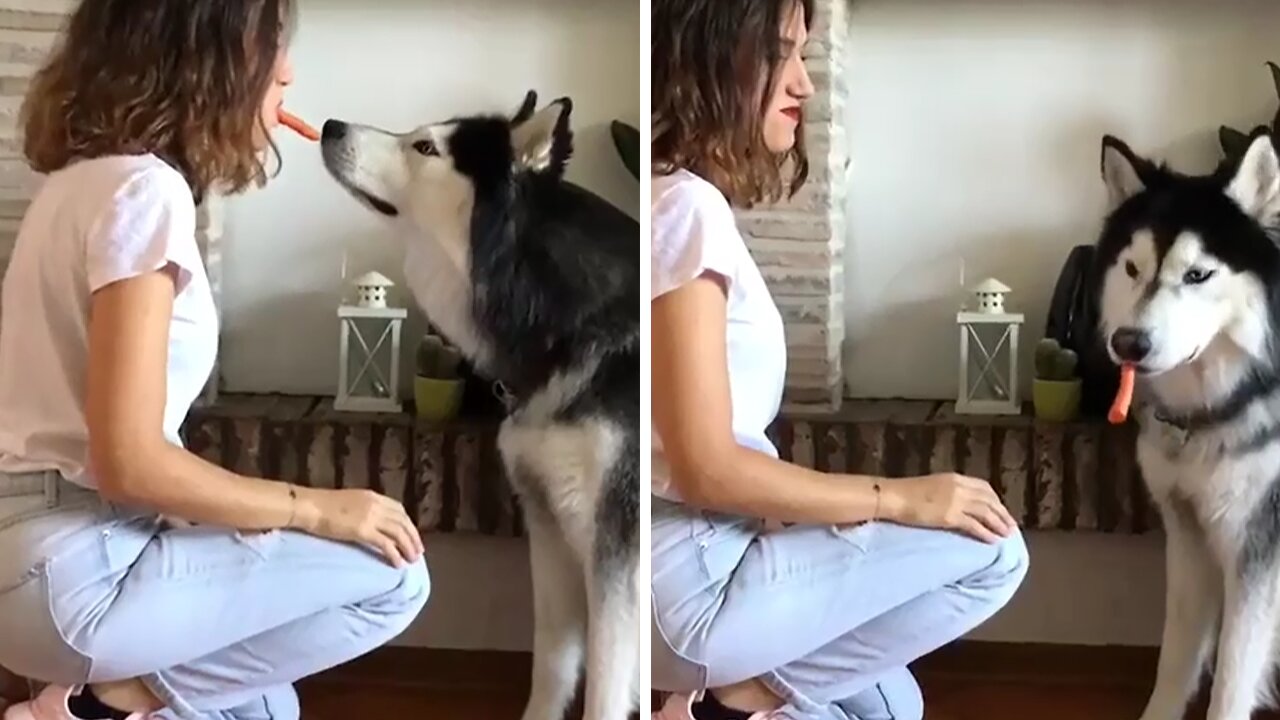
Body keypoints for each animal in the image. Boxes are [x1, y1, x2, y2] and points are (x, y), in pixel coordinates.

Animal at [320, 92, 640, 717]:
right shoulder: (549, 525)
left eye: (424, 146)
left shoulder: (618, 546)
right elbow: (553, 662)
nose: (329, 126)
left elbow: (606, 684)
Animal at [1095, 130, 1280, 717]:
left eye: (1198, 274)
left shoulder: (1259, 554)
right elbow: (1175, 661)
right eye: (1132, 269)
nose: (1128, 343)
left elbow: (1232, 678)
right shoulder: (1188, 534)